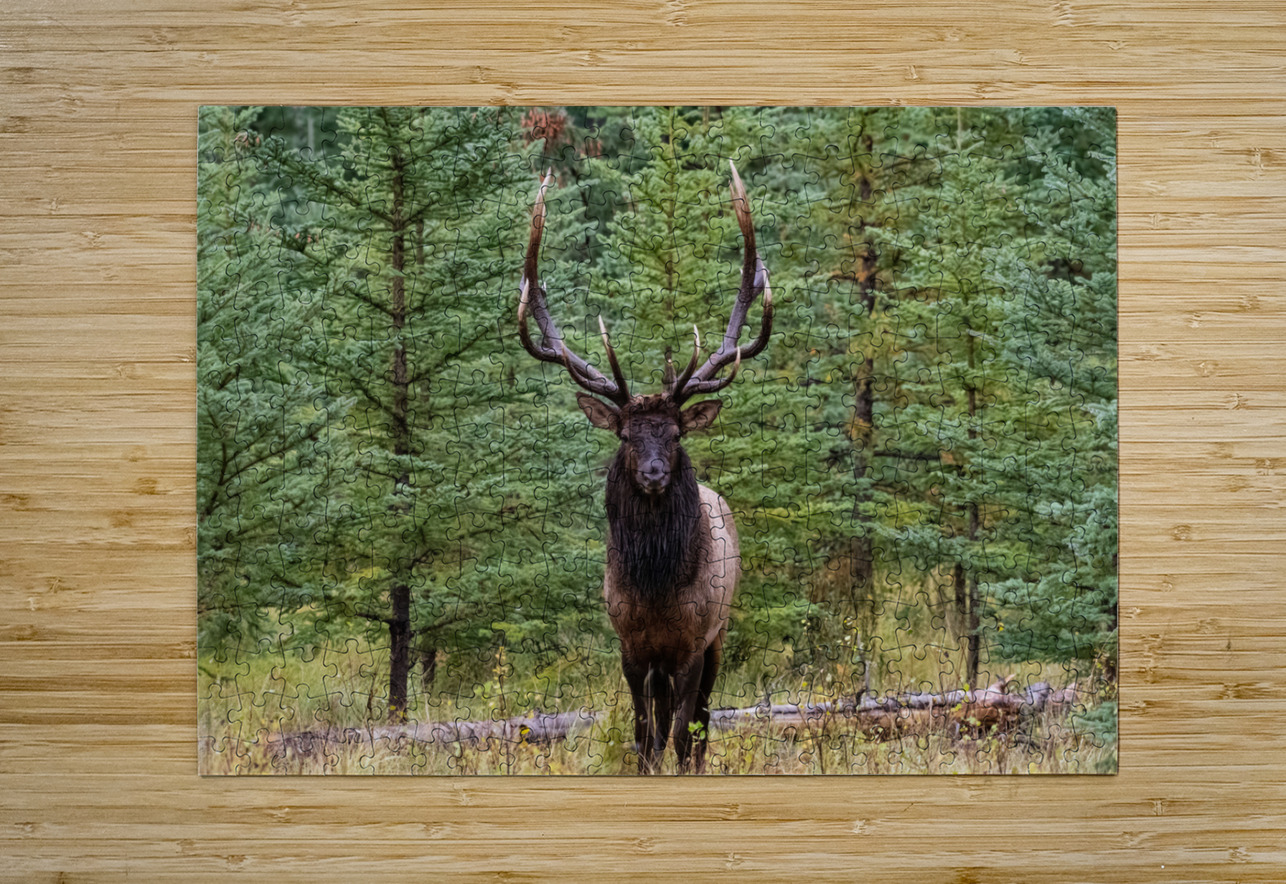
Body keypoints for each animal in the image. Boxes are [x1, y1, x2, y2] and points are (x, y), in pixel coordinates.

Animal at [517, 162, 773, 773]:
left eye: (675, 434)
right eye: (628, 435)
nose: (655, 474)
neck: (656, 589)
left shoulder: (692, 644)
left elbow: (680, 733)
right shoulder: (631, 647)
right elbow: (642, 736)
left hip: (720, 633)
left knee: (700, 722)